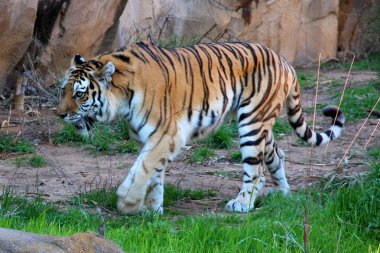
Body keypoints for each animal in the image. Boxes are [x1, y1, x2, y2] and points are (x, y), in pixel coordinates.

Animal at [56, 41, 344, 213]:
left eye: (80, 94)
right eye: (63, 91)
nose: (59, 114)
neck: (122, 100)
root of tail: (284, 60)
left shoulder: (166, 134)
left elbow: (143, 170)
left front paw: (129, 203)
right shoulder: (148, 139)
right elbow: (152, 174)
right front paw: (152, 210)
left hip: (251, 123)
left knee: (256, 169)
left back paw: (241, 204)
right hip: (262, 123)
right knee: (277, 155)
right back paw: (282, 193)